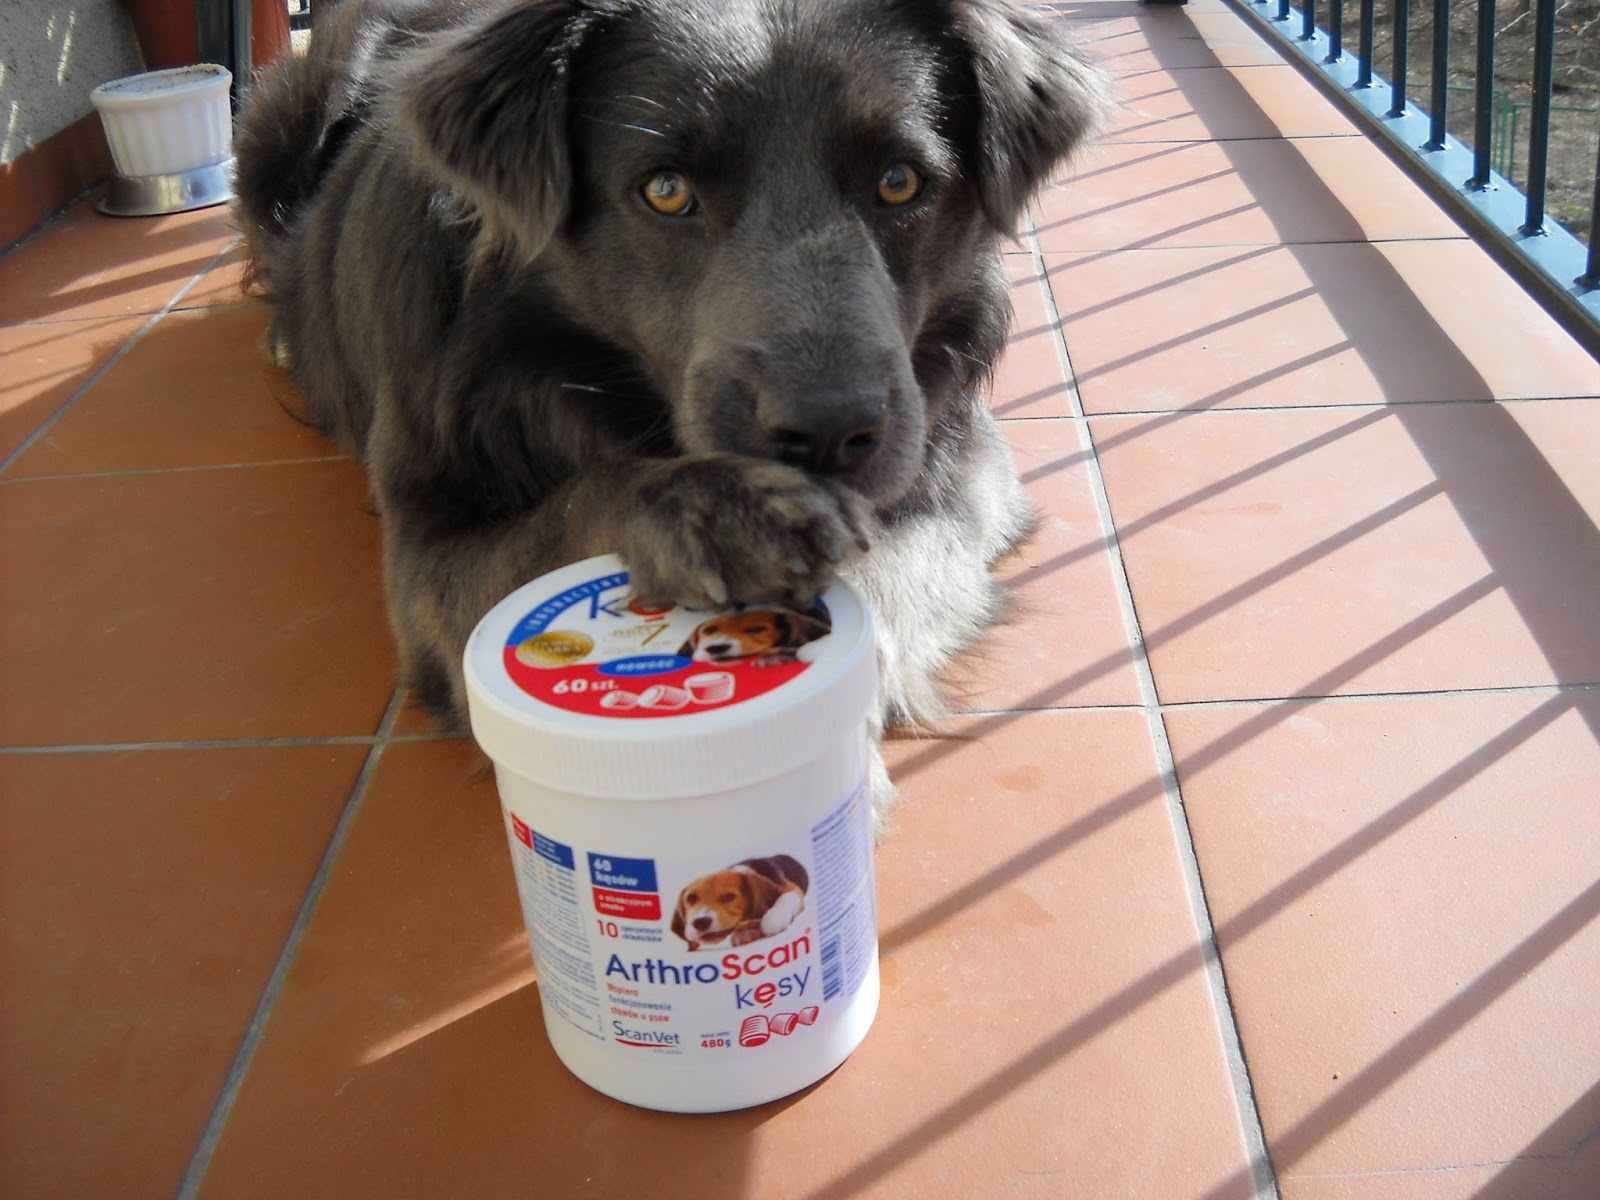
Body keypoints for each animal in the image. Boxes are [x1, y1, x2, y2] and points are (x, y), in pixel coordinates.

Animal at [671, 856, 810, 951]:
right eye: (691, 898)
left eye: (729, 896)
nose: (700, 922)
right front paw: (746, 933)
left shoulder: (791, 888)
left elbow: (786, 897)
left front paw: (773, 919)